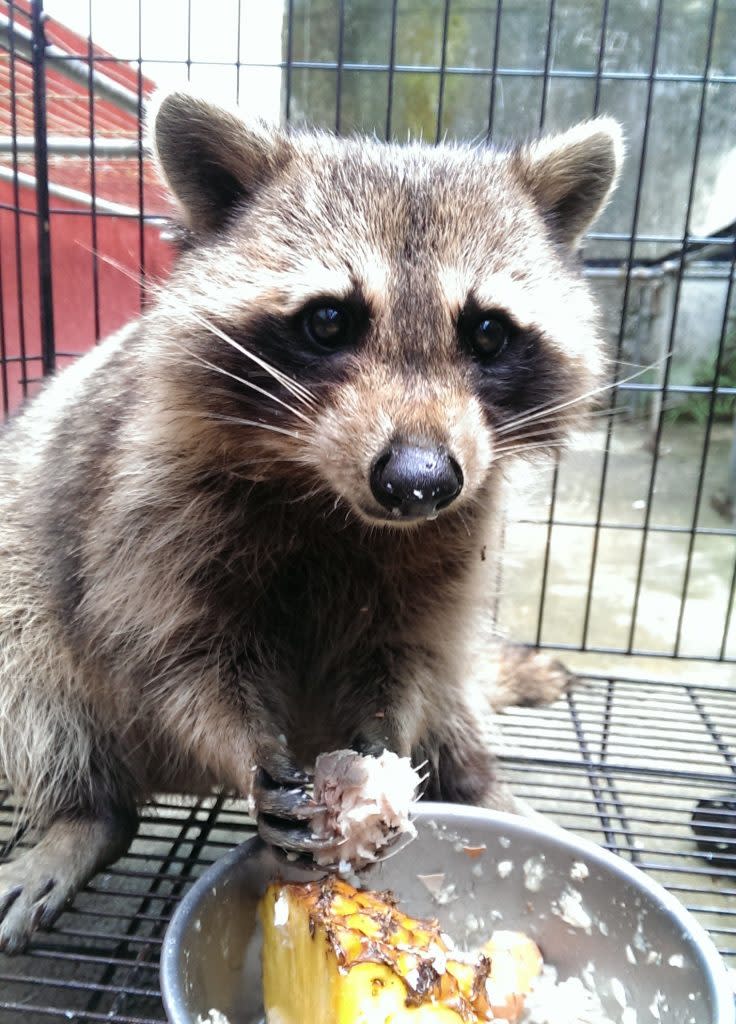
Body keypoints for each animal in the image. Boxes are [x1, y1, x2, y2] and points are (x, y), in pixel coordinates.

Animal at [0, 92, 622, 946]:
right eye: (329, 322)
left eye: (489, 332)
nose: (419, 482)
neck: (333, 496)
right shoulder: (139, 506)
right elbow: (171, 658)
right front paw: (241, 747)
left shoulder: (460, 527)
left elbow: (411, 654)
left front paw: (389, 741)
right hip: (27, 580)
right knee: (35, 682)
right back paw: (83, 816)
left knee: (454, 694)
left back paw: (479, 784)